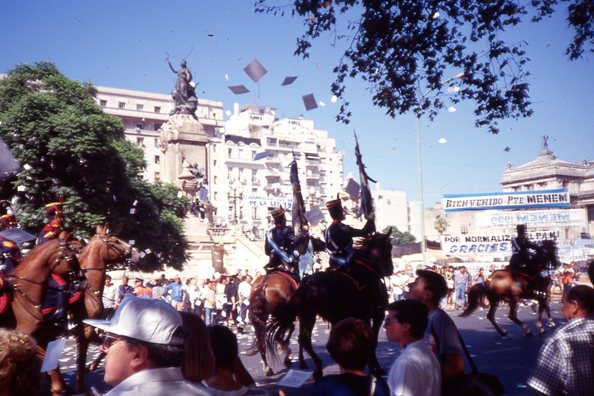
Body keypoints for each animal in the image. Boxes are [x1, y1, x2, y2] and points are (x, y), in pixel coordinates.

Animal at [286, 230, 394, 378]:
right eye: (389, 247)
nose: (390, 269)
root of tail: (306, 284)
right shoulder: (376, 314)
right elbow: (372, 340)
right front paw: (375, 368)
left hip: (307, 315)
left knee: (304, 339)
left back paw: (317, 368)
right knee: (305, 339)